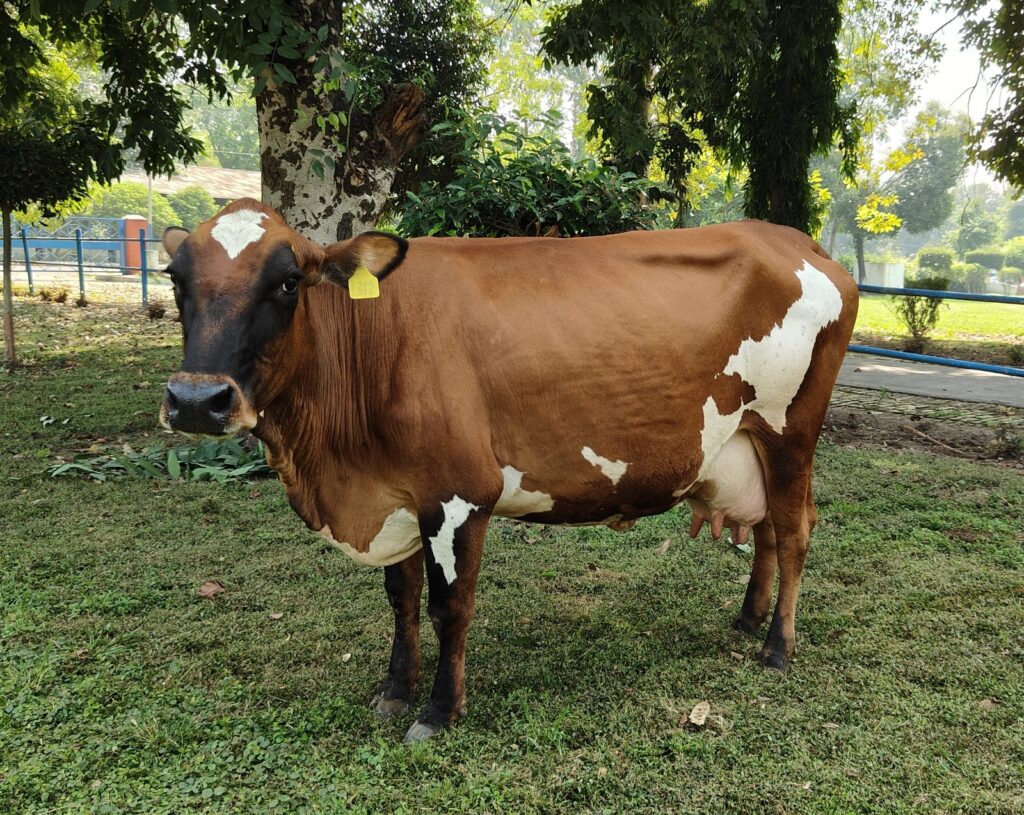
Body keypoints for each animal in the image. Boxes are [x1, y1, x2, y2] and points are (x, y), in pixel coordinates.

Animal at [159, 198, 858, 742]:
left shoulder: (459, 493)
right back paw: (747, 619)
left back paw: (777, 647)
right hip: (750, 442)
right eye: (174, 278)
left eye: (287, 282)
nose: (195, 400)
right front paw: (396, 691)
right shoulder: (401, 493)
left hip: (790, 431)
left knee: (795, 532)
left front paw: (438, 713)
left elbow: (449, 606)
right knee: (766, 529)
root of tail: (796, 241)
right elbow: (401, 598)